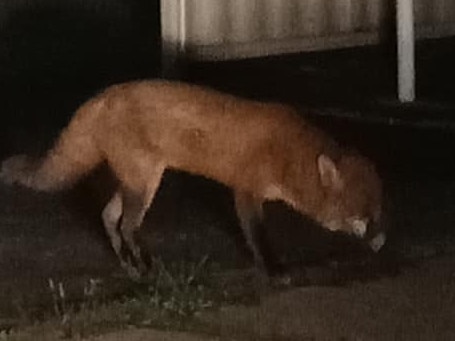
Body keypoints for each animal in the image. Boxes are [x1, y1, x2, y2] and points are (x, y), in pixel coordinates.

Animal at [0, 79, 386, 278]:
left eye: (380, 210)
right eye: (364, 215)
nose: (382, 243)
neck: (289, 156)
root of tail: (102, 96)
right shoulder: (246, 192)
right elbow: (258, 237)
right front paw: (274, 269)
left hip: (137, 181)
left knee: (108, 217)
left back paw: (130, 266)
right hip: (144, 183)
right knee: (126, 225)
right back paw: (147, 265)